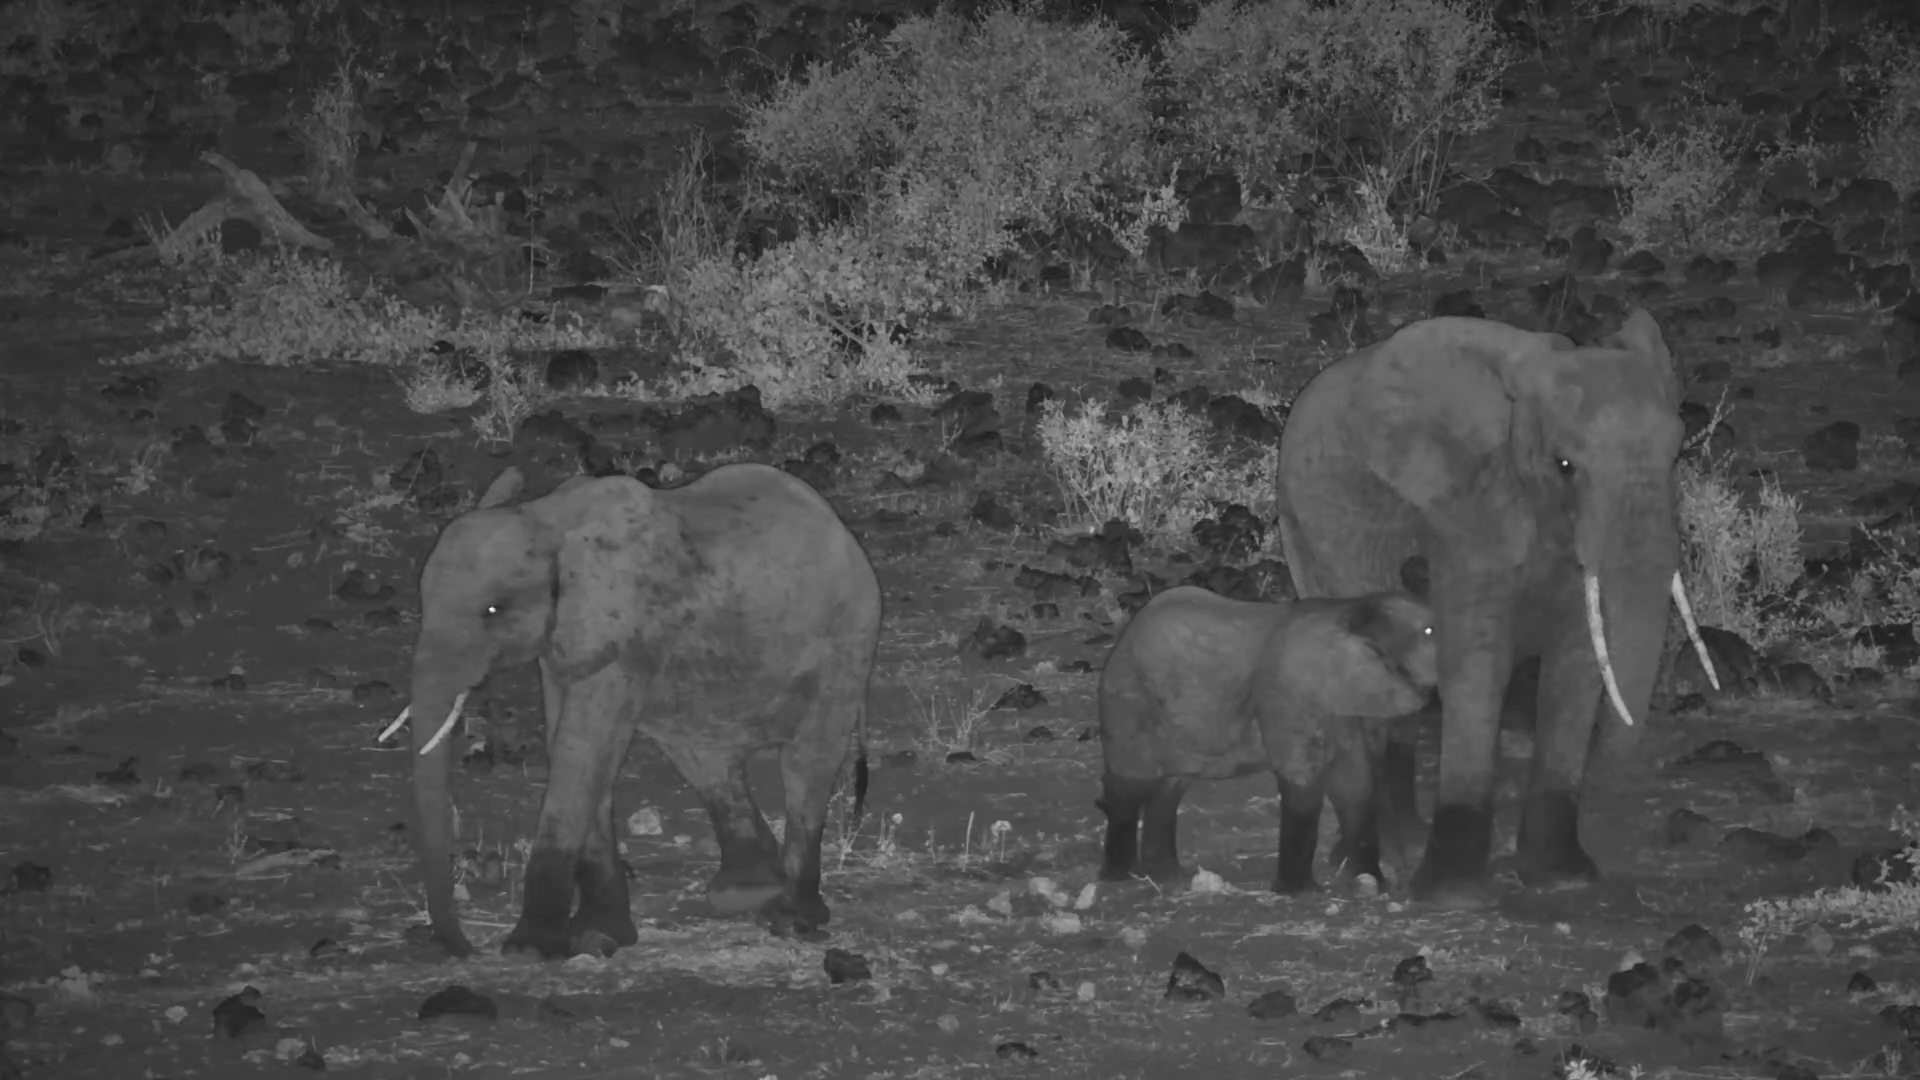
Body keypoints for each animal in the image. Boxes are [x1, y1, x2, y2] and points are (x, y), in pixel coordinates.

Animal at [389, 462, 882, 959]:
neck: (549, 520)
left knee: (806, 761)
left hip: (847, 643)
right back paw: (743, 893)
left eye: (492, 610)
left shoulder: (625, 632)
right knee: (705, 757)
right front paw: (598, 937)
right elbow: (572, 747)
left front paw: (531, 949)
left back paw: (790, 919)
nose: (466, 948)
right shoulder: (565, 645)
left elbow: (583, 751)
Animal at [1096, 585, 1438, 894]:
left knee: (1170, 787)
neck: (1348, 608)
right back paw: (1120, 877)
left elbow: (1354, 783)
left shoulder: (1339, 703)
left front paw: (1373, 884)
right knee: (1131, 784)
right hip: (1127, 698)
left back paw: (1168, 876)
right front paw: (1301, 893)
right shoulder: (1286, 695)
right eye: (1430, 630)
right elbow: (1303, 783)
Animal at [1275, 308, 1716, 908]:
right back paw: (1373, 862)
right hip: (1304, 531)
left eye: (1677, 456)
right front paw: (1454, 891)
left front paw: (1558, 876)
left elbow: (1577, 658)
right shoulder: (1465, 510)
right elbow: (1478, 657)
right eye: (1564, 464)